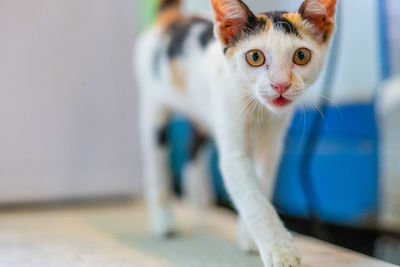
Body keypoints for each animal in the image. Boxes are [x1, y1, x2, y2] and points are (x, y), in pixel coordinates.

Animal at [135, 0, 338, 266]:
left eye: (301, 55)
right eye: (255, 57)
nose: (280, 85)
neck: (260, 109)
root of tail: (171, 17)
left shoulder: (272, 145)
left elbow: (262, 186)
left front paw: (248, 239)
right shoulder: (234, 150)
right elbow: (254, 199)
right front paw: (280, 250)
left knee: (192, 145)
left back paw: (197, 203)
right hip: (154, 108)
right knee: (156, 159)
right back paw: (163, 222)